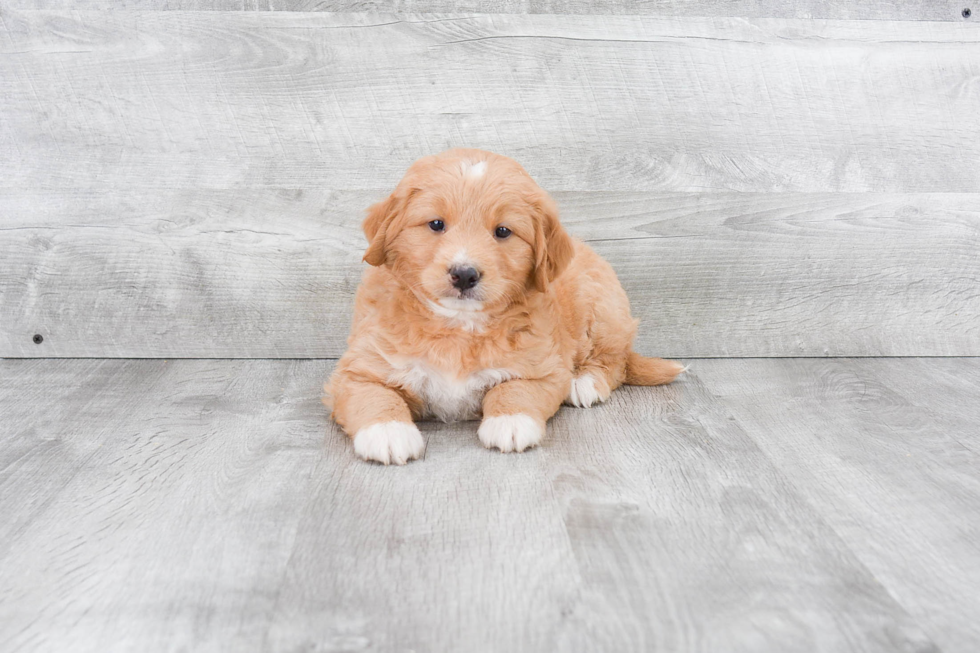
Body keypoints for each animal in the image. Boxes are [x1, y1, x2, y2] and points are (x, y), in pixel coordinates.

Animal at [326, 148, 684, 464]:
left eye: (502, 231)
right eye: (436, 224)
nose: (464, 274)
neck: (458, 326)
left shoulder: (543, 368)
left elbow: (514, 389)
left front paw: (510, 421)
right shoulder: (358, 370)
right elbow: (375, 395)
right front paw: (388, 433)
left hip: (602, 310)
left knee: (615, 362)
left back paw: (584, 382)